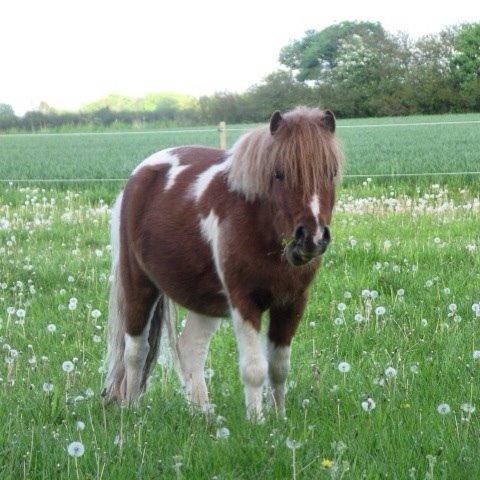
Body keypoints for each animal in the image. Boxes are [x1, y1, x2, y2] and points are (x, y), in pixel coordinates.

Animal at [104, 106, 342, 420]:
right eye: (278, 173)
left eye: (331, 172)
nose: (311, 238)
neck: (258, 224)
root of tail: (139, 174)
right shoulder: (245, 302)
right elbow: (254, 369)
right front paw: (257, 423)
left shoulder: (292, 303)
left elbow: (279, 368)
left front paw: (280, 419)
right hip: (139, 283)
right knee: (136, 350)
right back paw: (132, 409)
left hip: (203, 299)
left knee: (190, 348)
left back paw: (203, 414)